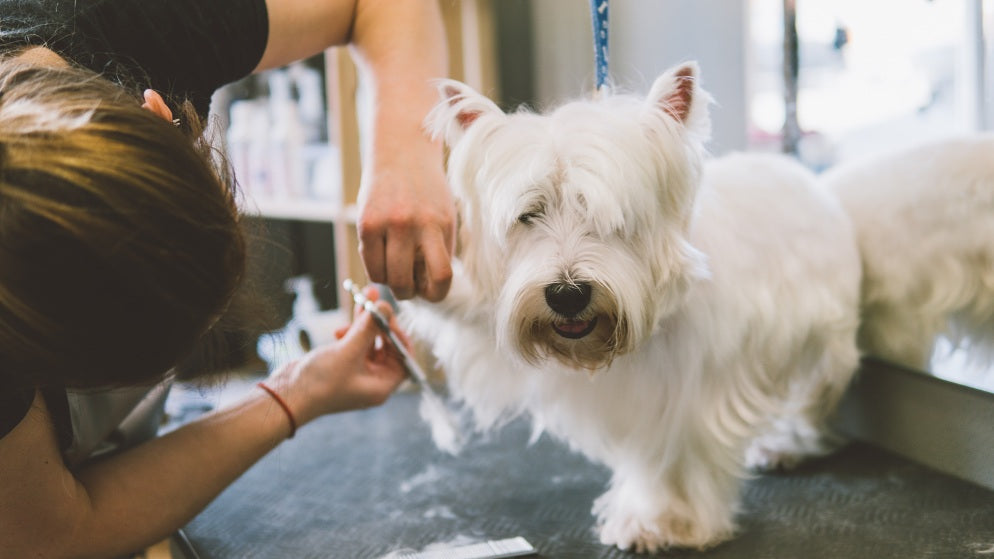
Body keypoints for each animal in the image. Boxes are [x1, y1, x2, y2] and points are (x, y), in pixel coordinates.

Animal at [404, 63, 860, 552]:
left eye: (612, 215)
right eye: (529, 214)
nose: (567, 294)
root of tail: (797, 169)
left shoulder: (691, 396)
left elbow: (679, 460)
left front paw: (669, 522)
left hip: (821, 339)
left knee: (809, 395)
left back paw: (785, 444)